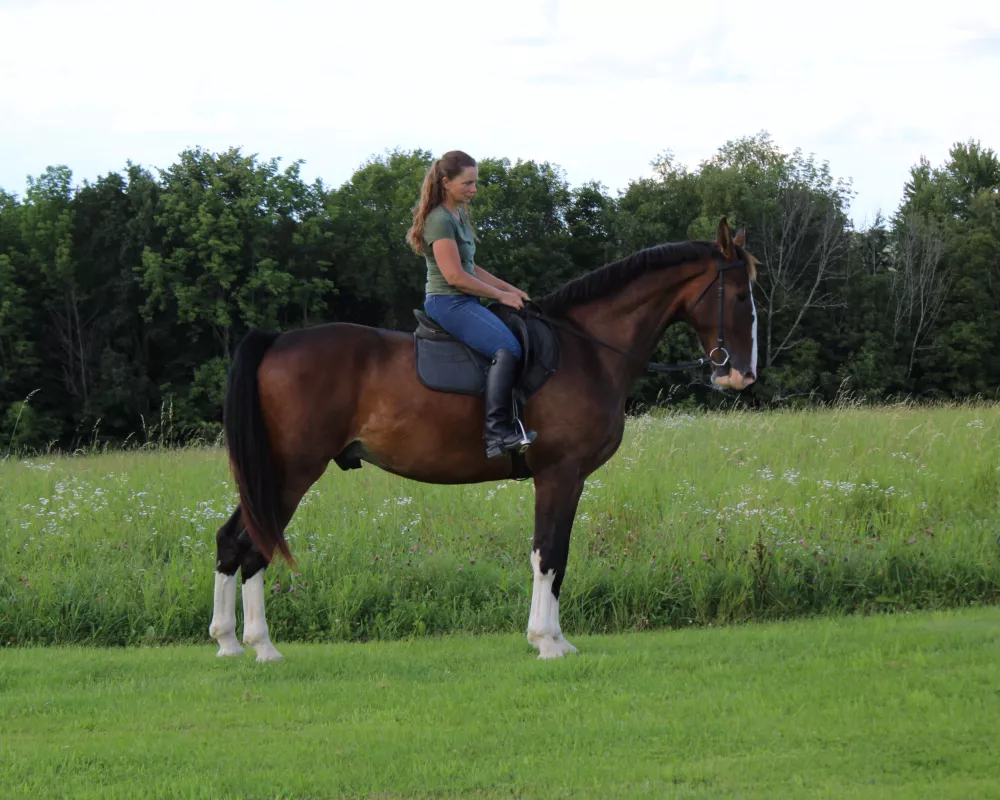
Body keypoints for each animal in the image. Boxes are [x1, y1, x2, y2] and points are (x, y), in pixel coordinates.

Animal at [209, 216, 756, 660]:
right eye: (740, 296)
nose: (741, 376)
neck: (587, 350)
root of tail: (278, 341)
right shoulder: (560, 474)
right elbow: (549, 553)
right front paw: (547, 642)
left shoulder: (566, 478)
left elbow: (555, 555)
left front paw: (554, 639)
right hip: (291, 472)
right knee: (256, 544)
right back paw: (262, 646)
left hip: (271, 475)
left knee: (231, 540)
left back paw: (229, 642)